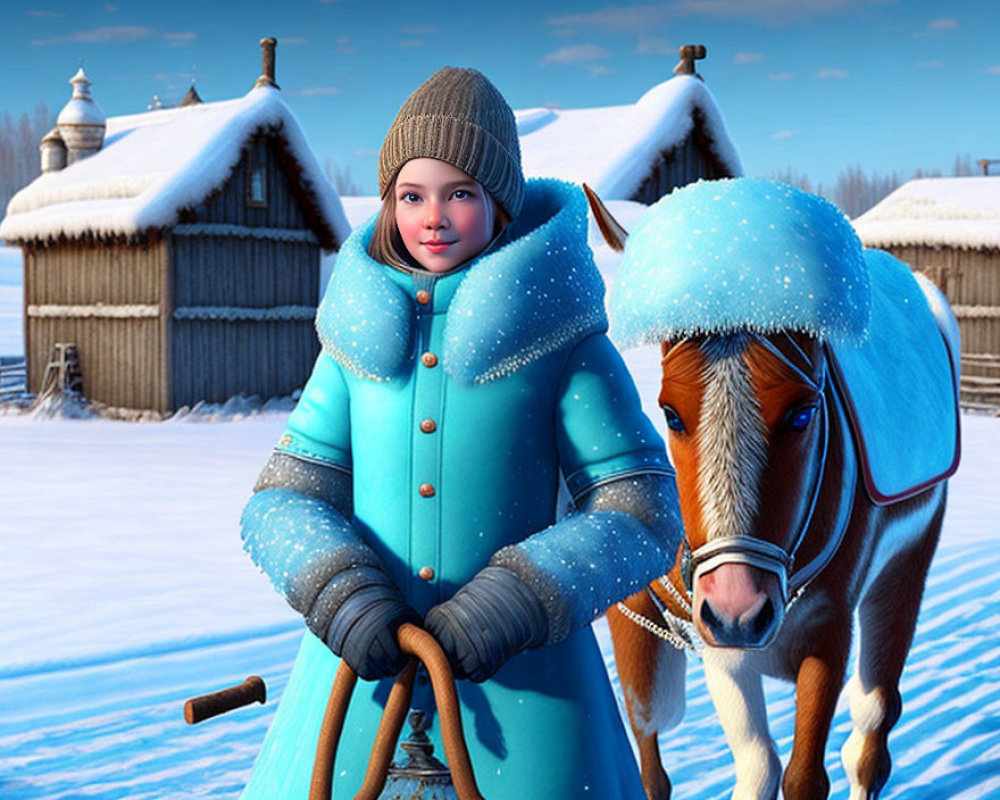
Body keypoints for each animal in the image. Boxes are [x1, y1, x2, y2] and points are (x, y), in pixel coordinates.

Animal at [584, 181, 960, 800]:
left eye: (804, 413)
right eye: (670, 413)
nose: (739, 608)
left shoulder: (827, 629)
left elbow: (805, 776)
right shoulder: (695, 631)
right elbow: (745, 766)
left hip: (906, 564)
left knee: (872, 726)